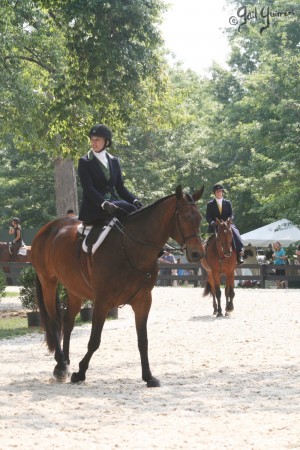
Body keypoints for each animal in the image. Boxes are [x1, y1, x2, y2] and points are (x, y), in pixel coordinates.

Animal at [31, 185, 206, 386]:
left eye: (200, 217)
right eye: (184, 217)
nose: (197, 254)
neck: (131, 248)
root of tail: (47, 228)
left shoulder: (143, 301)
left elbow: (143, 340)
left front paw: (148, 376)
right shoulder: (103, 301)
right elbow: (94, 340)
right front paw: (80, 372)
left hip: (74, 289)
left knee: (68, 323)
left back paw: (65, 363)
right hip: (48, 283)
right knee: (54, 322)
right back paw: (61, 366)